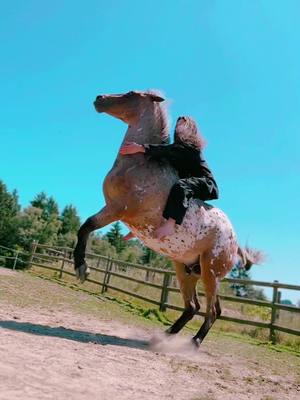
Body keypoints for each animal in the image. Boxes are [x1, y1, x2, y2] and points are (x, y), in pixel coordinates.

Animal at [73, 90, 262, 346]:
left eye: (131, 93)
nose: (99, 98)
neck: (140, 165)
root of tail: (235, 243)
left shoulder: (116, 210)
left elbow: (85, 227)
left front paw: (82, 268)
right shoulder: (111, 209)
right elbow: (84, 228)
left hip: (210, 273)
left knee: (211, 310)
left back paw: (193, 343)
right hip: (186, 270)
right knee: (194, 307)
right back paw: (161, 337)